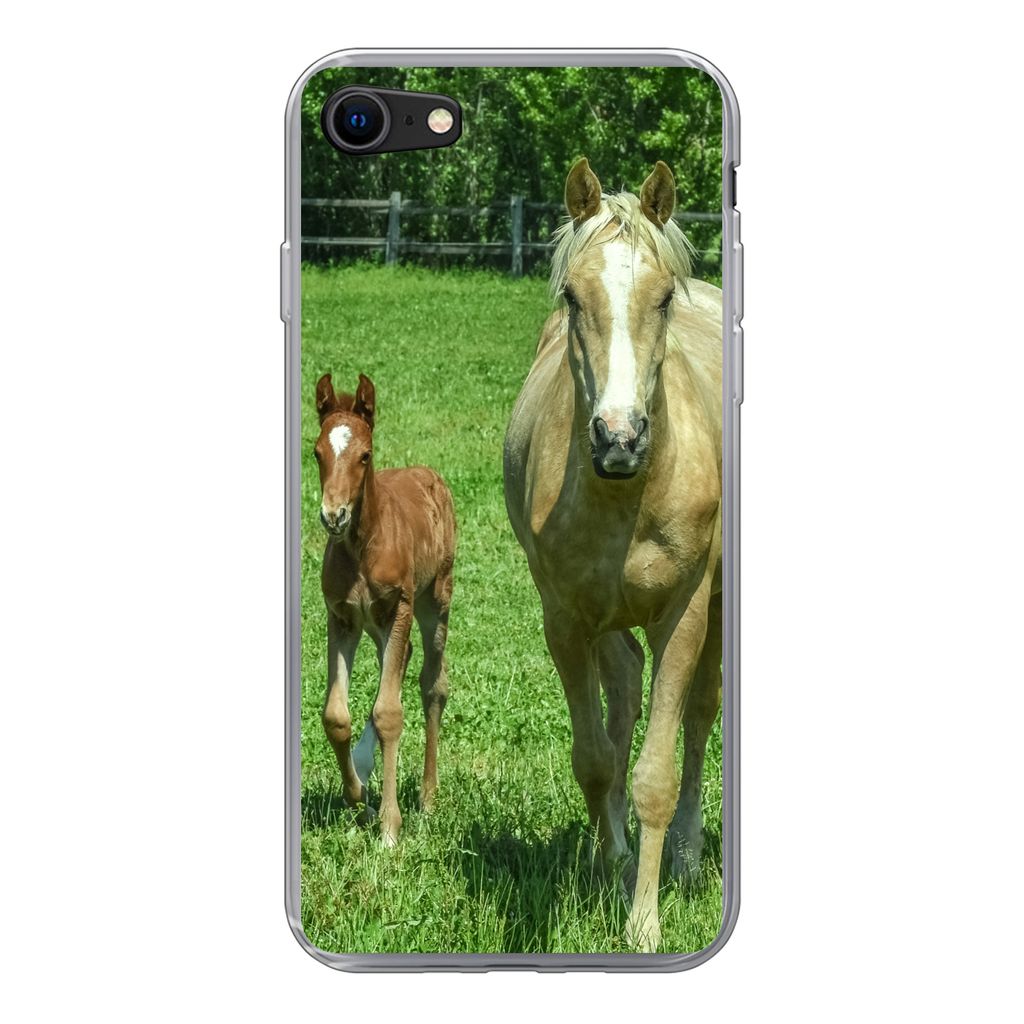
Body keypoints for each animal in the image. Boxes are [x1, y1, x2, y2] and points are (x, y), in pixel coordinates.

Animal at [314, 371, 456, 846]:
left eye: (365, 454)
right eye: (317, 452)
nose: (334, 515)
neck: (363, 545)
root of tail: (429, 473)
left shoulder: (399, 609)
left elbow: (390, 712)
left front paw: (390, 827)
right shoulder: (341, 616)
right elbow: (336, 715)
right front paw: (360, 794)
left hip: (433, 602)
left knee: (432, 684)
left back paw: (428, 799)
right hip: (376, 624)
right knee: (397, 663)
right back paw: (364, 763)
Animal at [503, 159, 723, 951]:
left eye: (662, 297)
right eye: (574, 295)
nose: (619, 437)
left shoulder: (684, 614)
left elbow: (657, 770)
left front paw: (645, 924)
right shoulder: (565, 619)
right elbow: (596, 759)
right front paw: (605, 875)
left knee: (699, 716)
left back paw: (685, 856)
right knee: (624, 689)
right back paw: (624, 852)